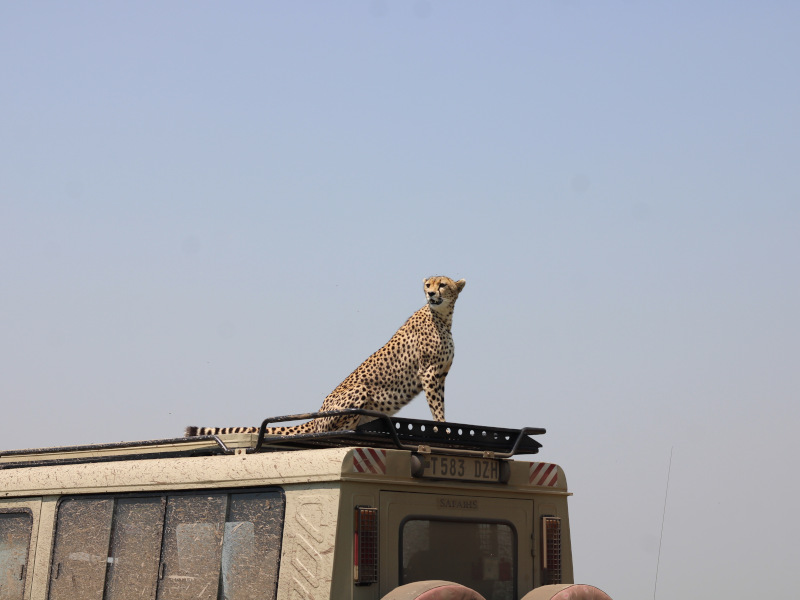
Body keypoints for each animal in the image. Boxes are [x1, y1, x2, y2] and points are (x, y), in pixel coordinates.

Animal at [185, 276, 466, 436]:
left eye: (442, 284)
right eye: (428, 285)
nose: (430, 293)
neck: (443, 317)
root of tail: (317, 413)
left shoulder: (439, 374)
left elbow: (440, 404)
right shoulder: (429, 373)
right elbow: (437, 407)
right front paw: (443, 426)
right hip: (360, 390)